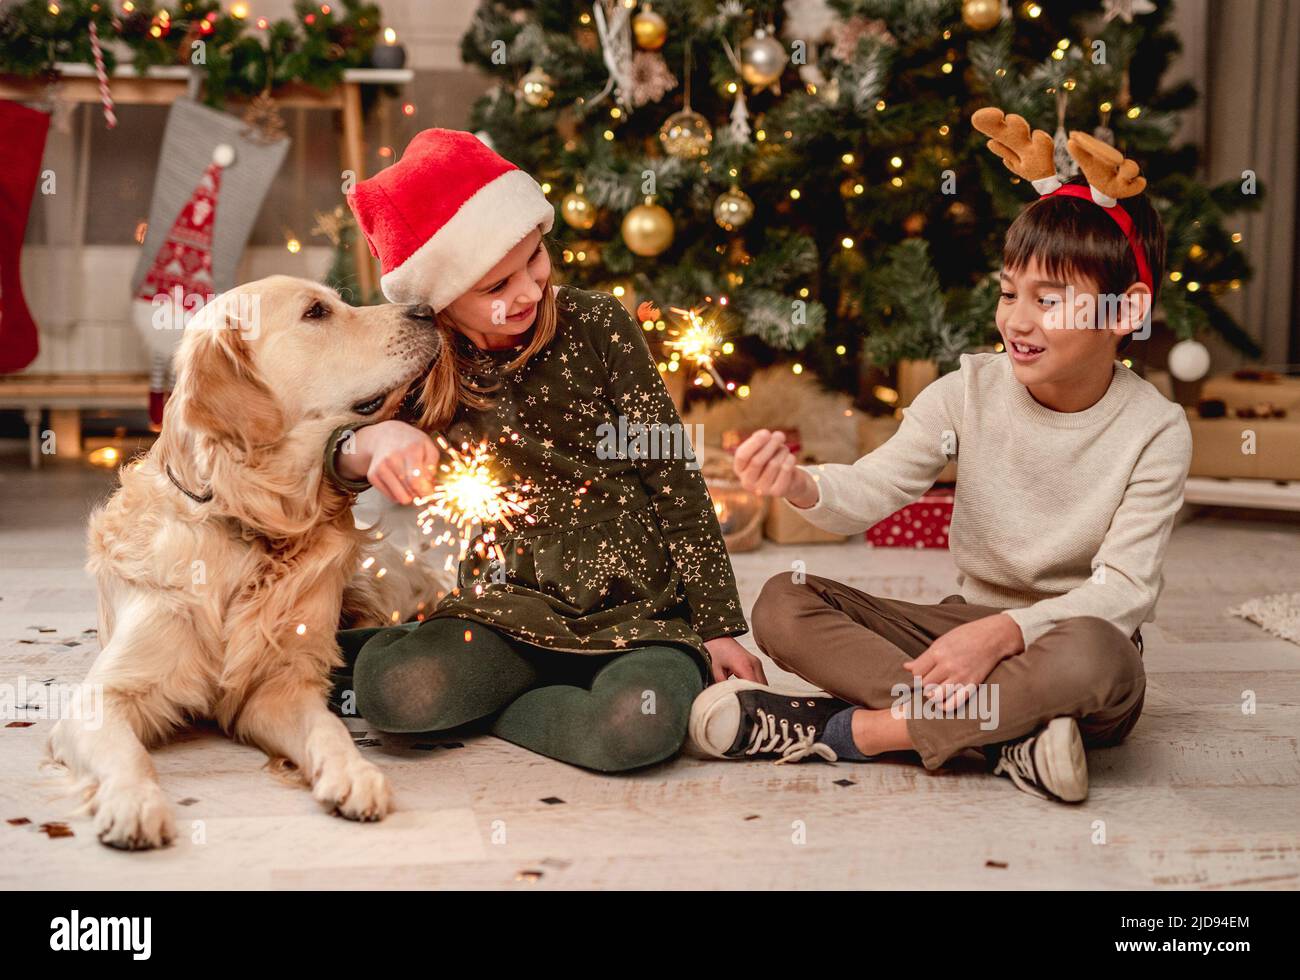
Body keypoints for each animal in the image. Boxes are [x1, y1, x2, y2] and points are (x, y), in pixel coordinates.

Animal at [45, 275, 444, 847]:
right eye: (316, 312)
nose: (428, 310)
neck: (252, 521)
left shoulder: (274, 687)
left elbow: (326, 727)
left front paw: (354, 772)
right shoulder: (103, 695)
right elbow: (127, 754)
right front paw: (133, 801)